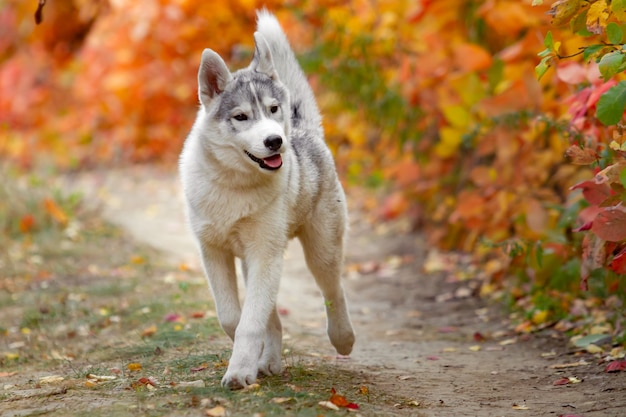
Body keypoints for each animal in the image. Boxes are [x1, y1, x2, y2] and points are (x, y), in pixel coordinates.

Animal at [178, 9, 354, 388]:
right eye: (241, 116)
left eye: (273, 109)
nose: (275, 141)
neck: (234, 185)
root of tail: (306, 131)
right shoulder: (214, 253)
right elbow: (233, 317)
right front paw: (249, 364)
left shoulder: (264, 254)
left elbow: (250, 322)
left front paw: (239, 371)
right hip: (255, 262)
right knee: (273, 317)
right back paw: (270, 361)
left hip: (319, 251)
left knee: (333, 291)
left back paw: (343, 339)